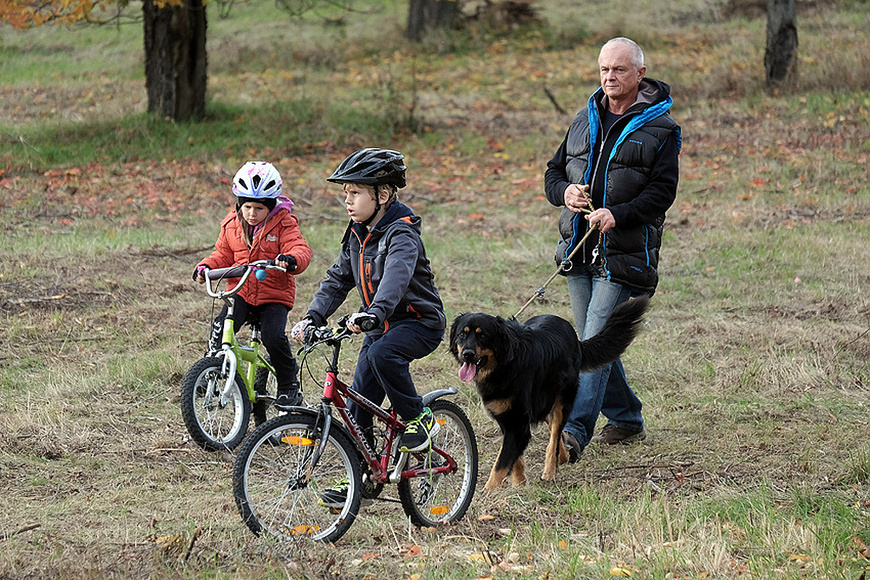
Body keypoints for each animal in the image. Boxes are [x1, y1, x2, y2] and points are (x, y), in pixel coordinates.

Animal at [454, 296, 652, 492]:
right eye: (462, 335)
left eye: (483, 335)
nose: (467, 354)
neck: (505, 364)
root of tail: (574, 337)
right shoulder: (507, 418)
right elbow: (513, 457)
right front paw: (519, 482)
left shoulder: (518, 422)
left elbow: (501, 464)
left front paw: (488, 492)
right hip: (546, 401)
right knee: (556, 433)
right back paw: (563, 456)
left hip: (562, 399)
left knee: (555, 435)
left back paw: (550, 472)